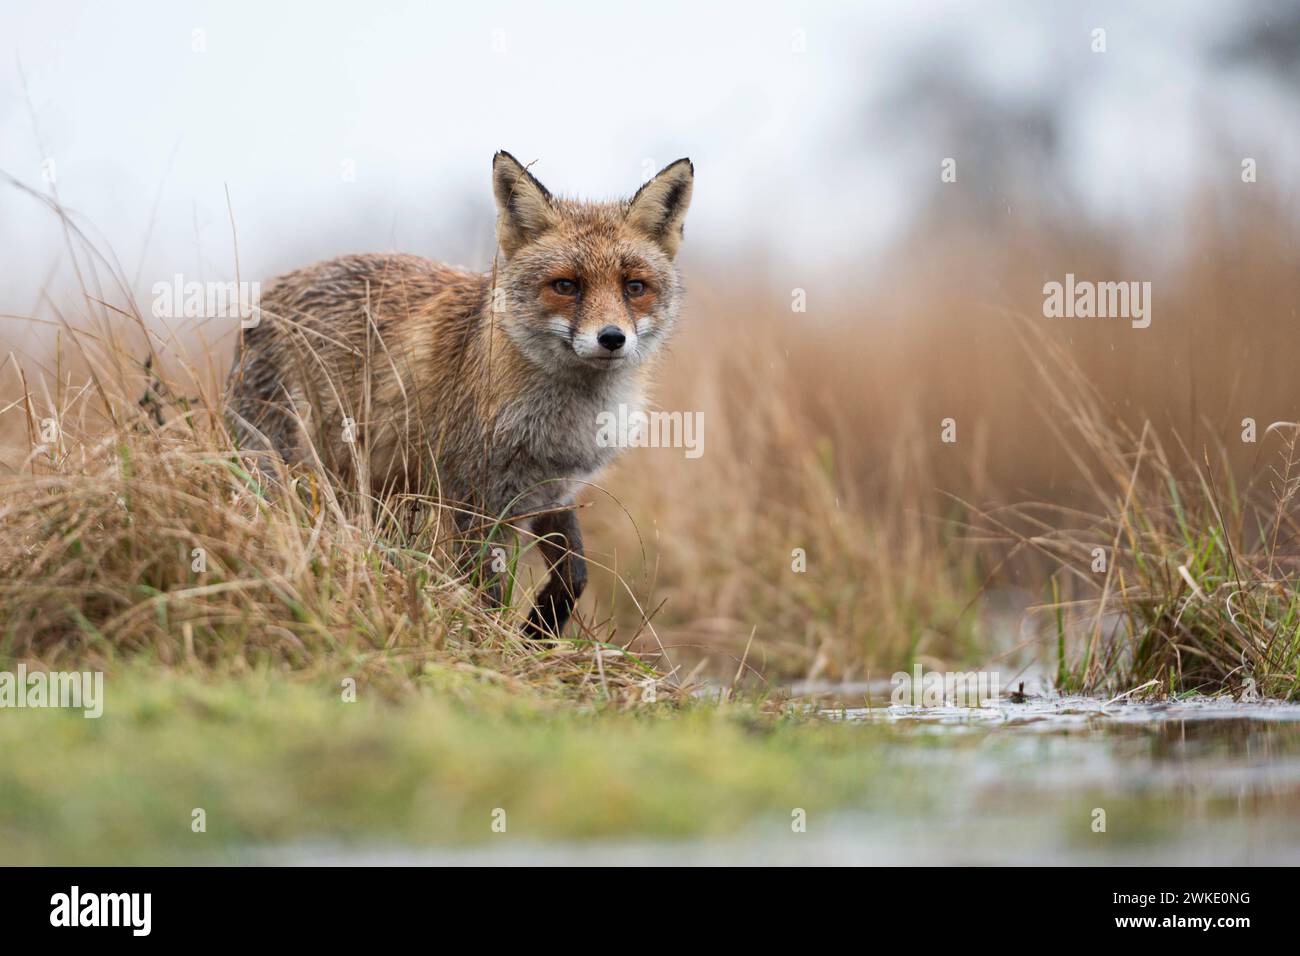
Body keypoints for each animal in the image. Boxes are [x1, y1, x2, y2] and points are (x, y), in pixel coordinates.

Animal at [226, 153, 691, 639]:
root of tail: (266, 295)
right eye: (566, 286)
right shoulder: (475, 500)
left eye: (634, 287)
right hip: (284, 464)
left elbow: (574, 575)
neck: (563, 423)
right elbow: (487, 597)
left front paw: (538, 632)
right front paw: (499, 644)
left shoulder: (552, 492)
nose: (612, 338)